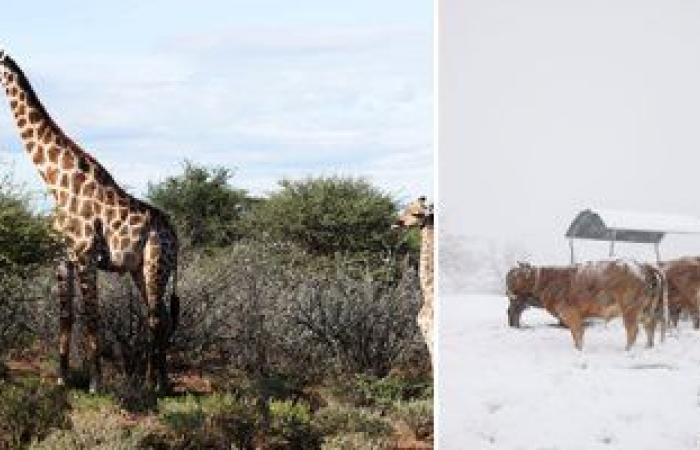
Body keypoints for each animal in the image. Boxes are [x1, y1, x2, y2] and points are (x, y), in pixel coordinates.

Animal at [0, 50, 180, 394]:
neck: (57, 182)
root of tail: (175, 236)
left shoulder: (85, 256)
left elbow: (92, 315)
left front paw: (95, 383)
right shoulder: (62, 258)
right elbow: (66, 316)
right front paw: (62, 378)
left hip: (156, 263)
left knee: (155, 316)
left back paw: (153, 384)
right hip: (139, 269)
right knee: (162, 315)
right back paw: (161, 382)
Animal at [506, 260, 664, 352]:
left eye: (513, 277)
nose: (507, 291)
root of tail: (643, 265)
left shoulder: (570, 314)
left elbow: (577, 334)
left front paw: (579, 350)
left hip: (630, 309)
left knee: (633, 331)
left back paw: (627, 350)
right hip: (646, 310)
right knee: (650, 327)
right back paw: (648, 347)